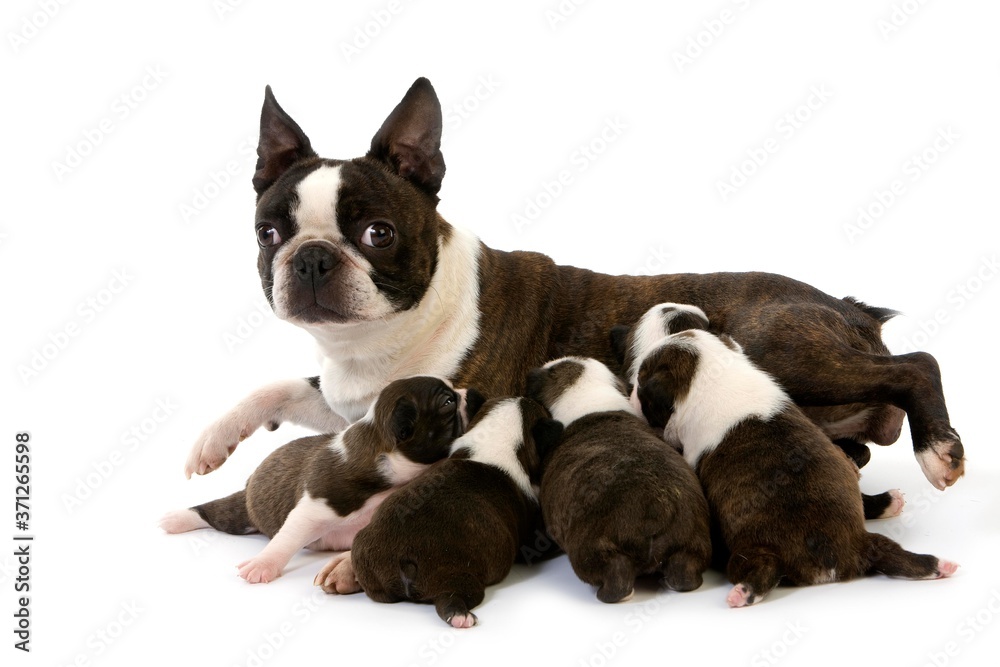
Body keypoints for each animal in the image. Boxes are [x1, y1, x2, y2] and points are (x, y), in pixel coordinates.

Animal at [160, 378, 476, 588]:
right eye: (447, 402)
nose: (470, 394)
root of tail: (250, 480)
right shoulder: (315, 505)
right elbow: (288, 538)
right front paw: (262, 565)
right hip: (245, 512)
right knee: (215, 513)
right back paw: (175, 520)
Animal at [184, 78, 964, 490]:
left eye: (378, 233)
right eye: (269, 233)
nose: (312, 259)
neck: (372, 342)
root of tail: (848, 308)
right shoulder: (348, 398)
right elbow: (276, 388)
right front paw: (213, 439)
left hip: (779, 343)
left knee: (916, 363)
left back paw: (937, 448)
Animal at [348, 400, 564, 628]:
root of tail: (400, 557)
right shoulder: (530, 536)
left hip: (367, 563)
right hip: (455, 575)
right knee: (450, 598)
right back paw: (461, 616)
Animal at [524, 358, 712, 604]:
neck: (587, 393)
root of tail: (658, 506)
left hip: (593, 550)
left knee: (615, 575)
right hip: (693, 542)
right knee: (685, 572)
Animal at [628, 306, 956, 608]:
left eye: (642, 385)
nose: (630, 394)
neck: (714, 373)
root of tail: (830, 558)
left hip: (753, 552)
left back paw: (743, 593)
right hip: (873, 539)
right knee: (893, 551)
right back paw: (932, 557)